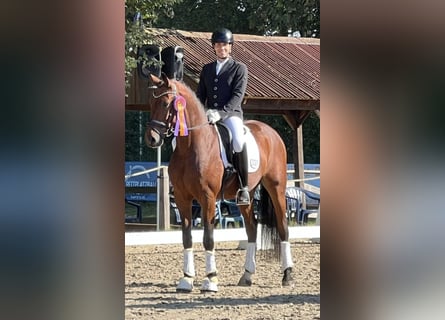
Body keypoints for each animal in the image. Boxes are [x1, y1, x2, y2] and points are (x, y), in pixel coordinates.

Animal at [144, 73, 294, 292]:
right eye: (150, 103)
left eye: (165, 103)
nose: (151, 139)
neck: (189, 148)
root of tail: (270, 132)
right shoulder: (182, 197)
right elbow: (187, 237)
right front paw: (186, 279)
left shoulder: (207, 198)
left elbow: (208, 237)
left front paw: (210, 280)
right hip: (246, 196)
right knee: (251, 227)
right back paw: (247, 275)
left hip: (276, 187)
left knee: (283, 227)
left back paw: (287, 275)